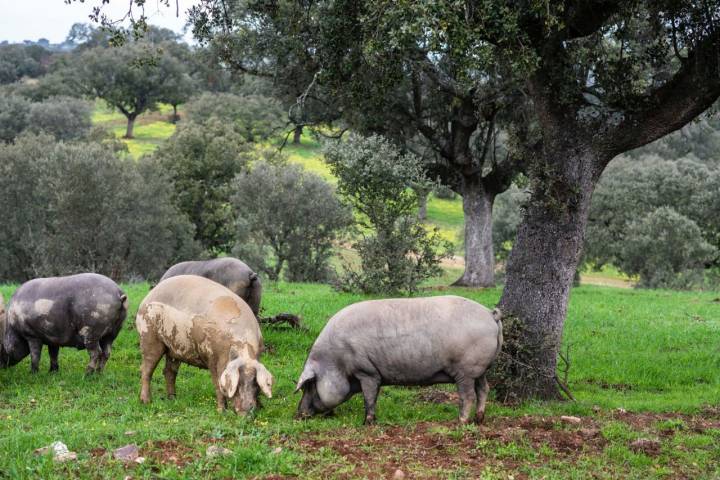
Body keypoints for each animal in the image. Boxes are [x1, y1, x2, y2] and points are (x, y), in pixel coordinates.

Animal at [0, 274, 128, 376]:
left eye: (1, 346)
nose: (3, 367)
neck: (11, 325)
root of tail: (118, 293)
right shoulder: (53, 338)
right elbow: (53, 354)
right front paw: (52, 373)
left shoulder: (32, 335)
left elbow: (35, 355)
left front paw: (32, 374)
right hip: (113, 332)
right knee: (107, 352)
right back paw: (99, 373)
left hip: (92, 330)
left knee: (96, 352)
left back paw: (86, 375)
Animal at [136, 276, 274, 414]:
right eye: (237, 383)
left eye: (255, 383)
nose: (246, 412)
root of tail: (146, 298)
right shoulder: (212, 356)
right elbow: (217, 382)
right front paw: (221, 411)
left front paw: (261, 407)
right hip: (148, 337)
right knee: (146, 370)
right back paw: (146, 401)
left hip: (175, 348)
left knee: (169, 371)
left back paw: (173, 399)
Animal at [296, 296, 504, 424]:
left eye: (310, 385)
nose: (298, 415)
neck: (336, 360)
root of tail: (490, 314)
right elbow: (374, 396)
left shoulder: (367, 371)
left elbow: (369, 397)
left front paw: (367, 423)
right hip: (480, 369)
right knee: (484, 389)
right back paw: (478, 420)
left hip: (466, 370)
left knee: (468, 396)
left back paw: (460, 422)